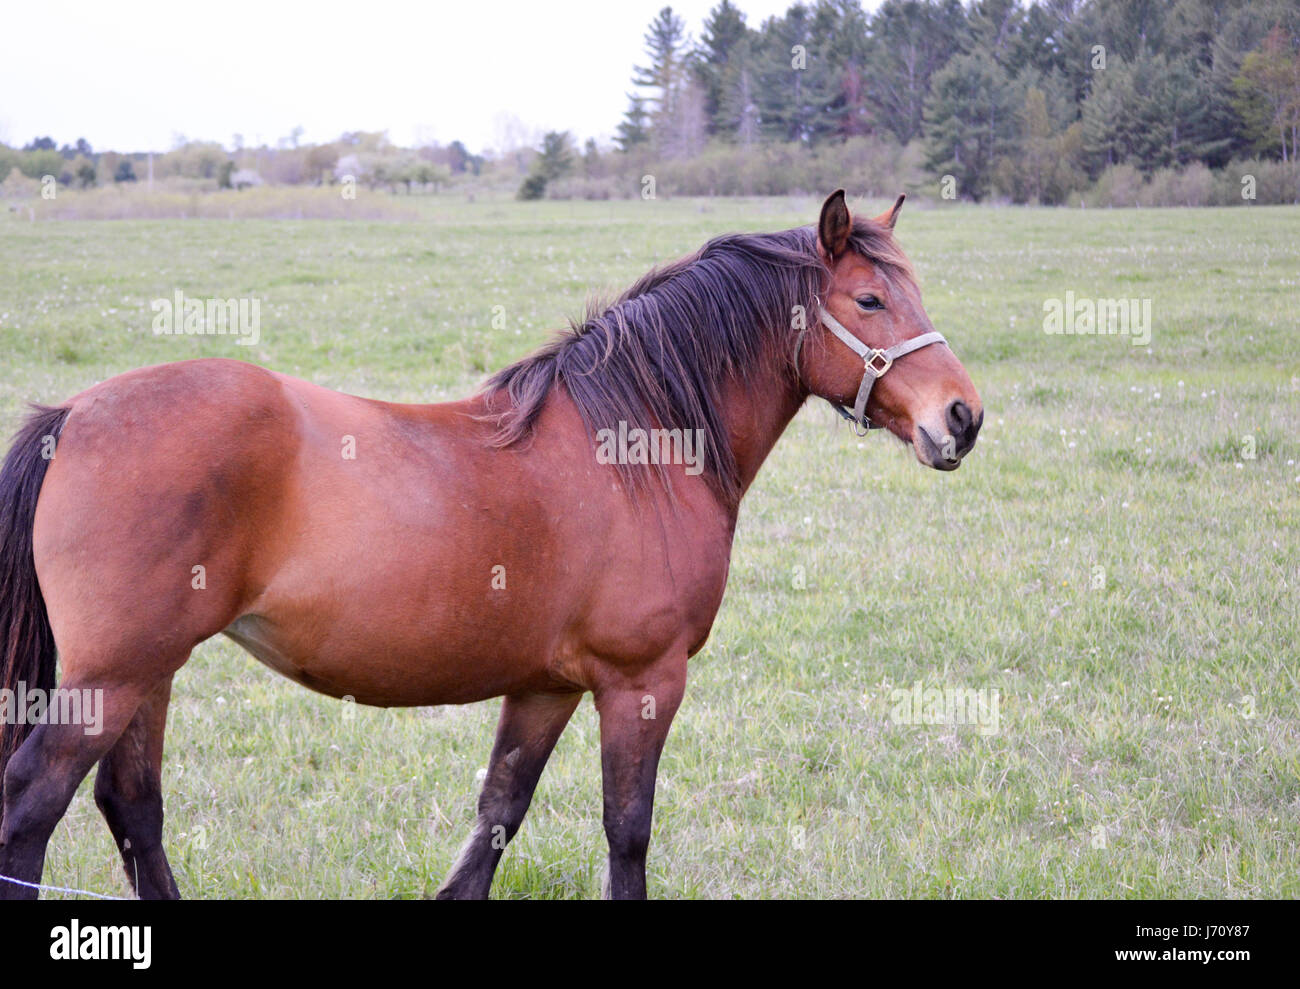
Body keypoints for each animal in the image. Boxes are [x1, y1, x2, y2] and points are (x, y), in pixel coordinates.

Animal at [0, 188, 977, 899]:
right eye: (869, 299)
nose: (961, 417)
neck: (634, 445)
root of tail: (74, 415)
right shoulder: (643, 683)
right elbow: (628, 831)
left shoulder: (544, 686)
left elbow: (497, 815)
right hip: (115, 673)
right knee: (31, 806)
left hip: (150, 670)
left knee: (133, 809)